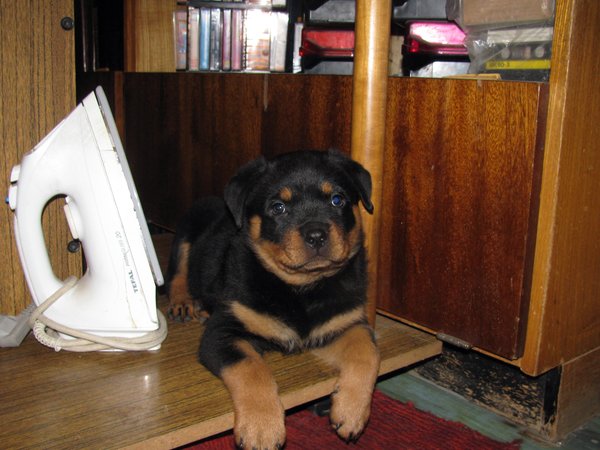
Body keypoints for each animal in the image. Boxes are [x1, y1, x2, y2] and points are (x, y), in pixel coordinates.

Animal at [166, 149, 380, 449]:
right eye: (278, 207)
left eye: (337, 200)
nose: (316, 235)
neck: (301, 289)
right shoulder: (223, 333)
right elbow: (252, 369)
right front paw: (262, 429)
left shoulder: (342, 323)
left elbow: (368, 352)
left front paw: (351, 413)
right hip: (187, 228)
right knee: (177, 271)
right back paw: (184, 303)